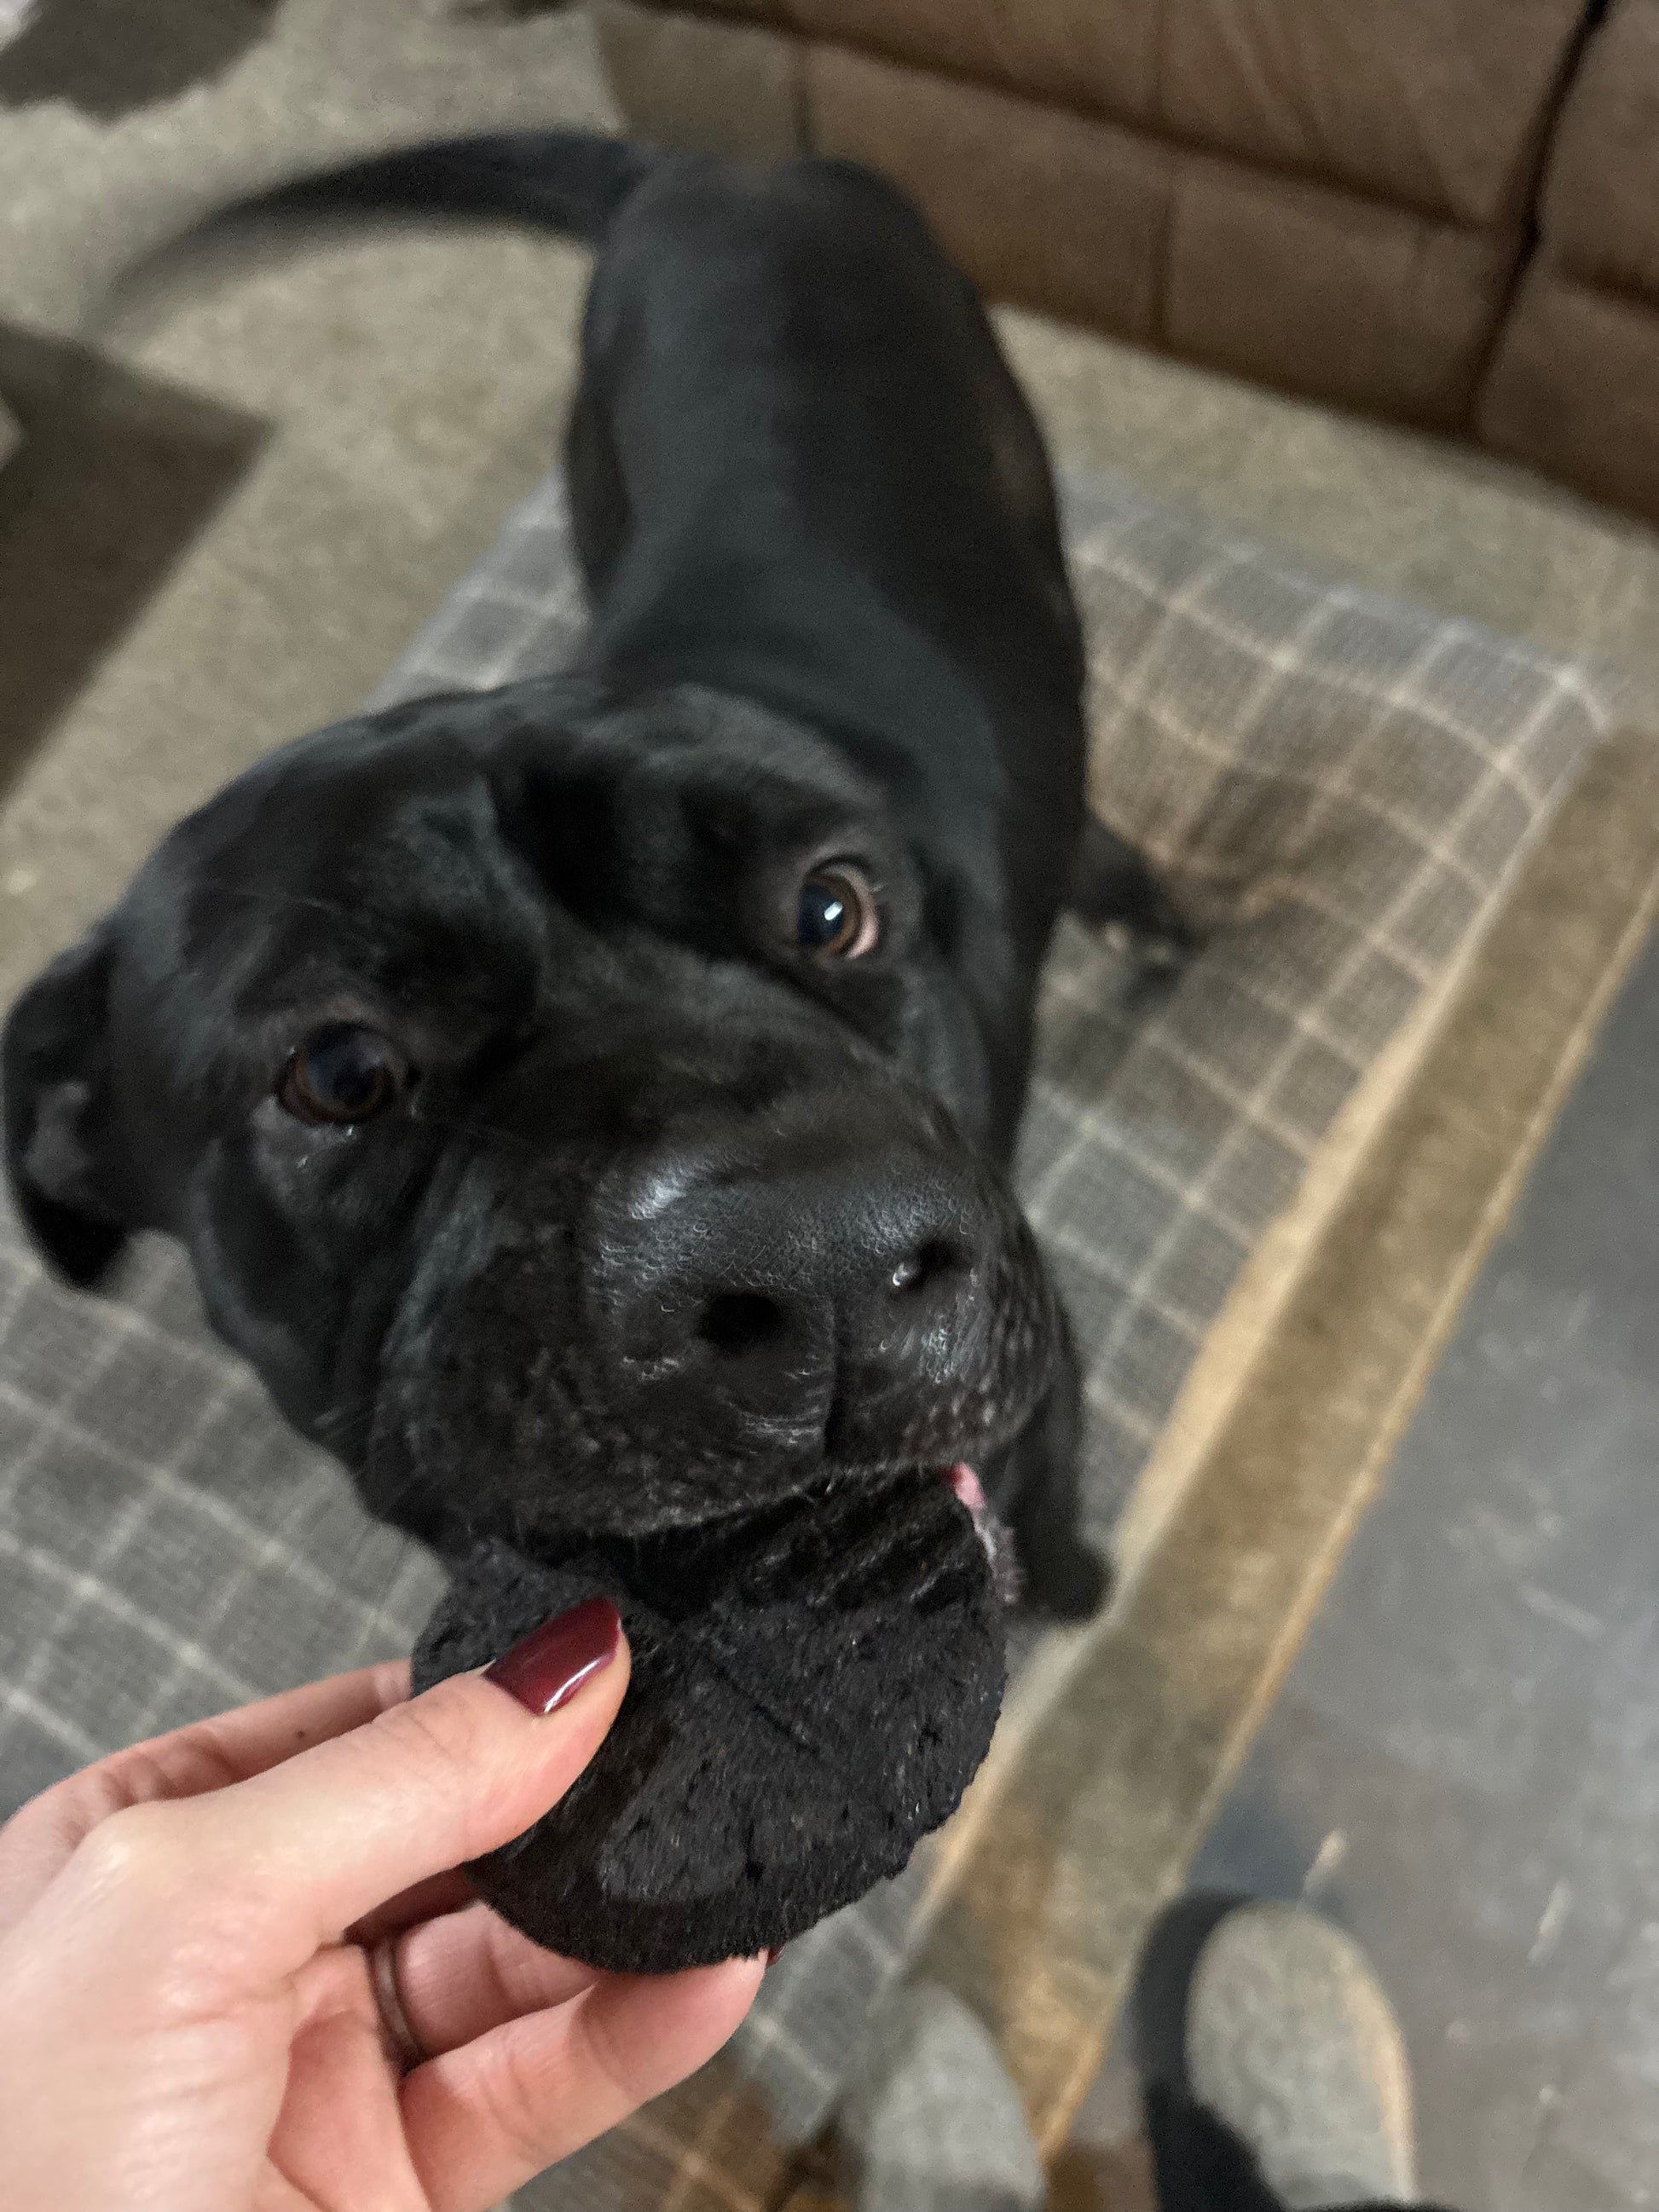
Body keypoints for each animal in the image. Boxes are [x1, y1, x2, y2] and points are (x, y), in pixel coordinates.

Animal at [4, 134, 1184, 1620]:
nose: (821, 1255)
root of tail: (715, 162)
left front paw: (1079, 1588)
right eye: (338, 1071)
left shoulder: (1047, 1400)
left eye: (832, 909)